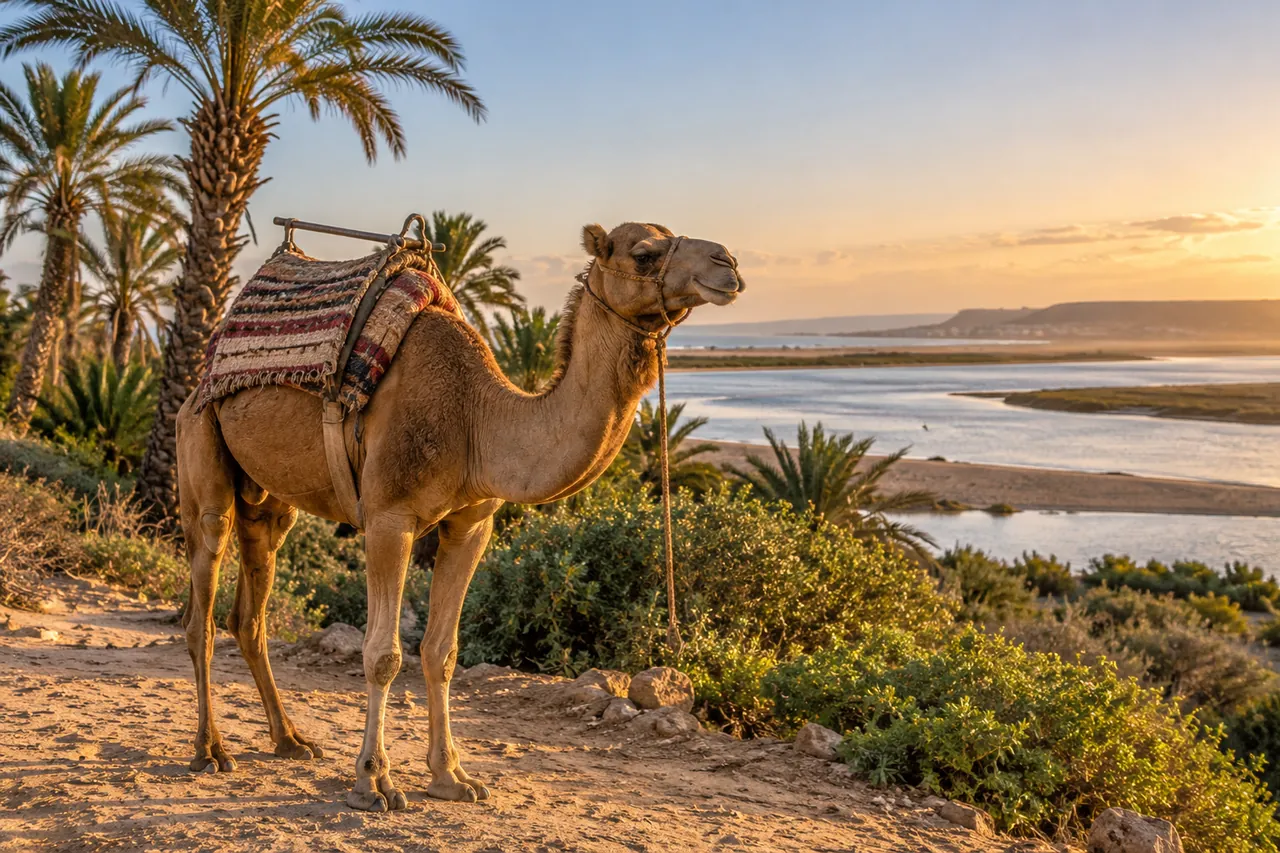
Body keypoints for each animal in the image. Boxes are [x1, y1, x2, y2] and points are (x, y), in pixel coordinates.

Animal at [176, 222, 743, 811]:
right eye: (644, 253)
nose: (726, 263)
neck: (478, 418)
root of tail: (202, 377)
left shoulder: (470, 525)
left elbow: (441, 652)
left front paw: (451, 777)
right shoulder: (389, 518)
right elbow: (383, 654)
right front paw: (373, 782)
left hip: (268, 501)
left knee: (250, 613)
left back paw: (290, 741)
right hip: (202, 456)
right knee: (202, 609)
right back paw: (210, 750)